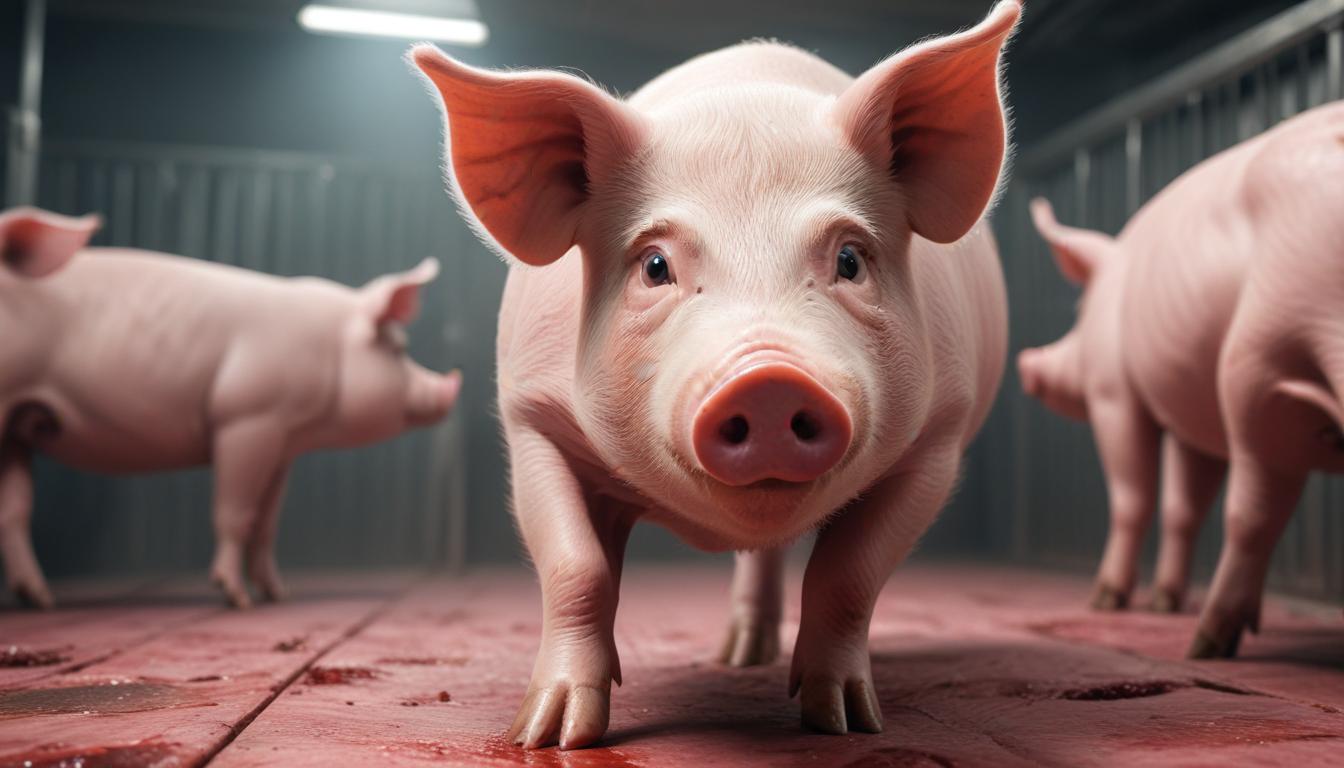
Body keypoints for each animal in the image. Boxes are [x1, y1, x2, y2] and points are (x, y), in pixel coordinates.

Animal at [0, 207, 461, 609]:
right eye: (398, 349)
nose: (450, 387)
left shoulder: (284, 444)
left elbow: (266, 523)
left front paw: (278, 596)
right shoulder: (247, 417)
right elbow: (236, 512)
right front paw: (236, 599)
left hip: (17, 427)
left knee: (15, 509)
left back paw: (40, 599)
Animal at [413, 1, 1019, 748]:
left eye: (850, 260)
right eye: (654, 266)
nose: (769, 380)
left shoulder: (937, 438)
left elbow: (848, 577)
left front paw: (846, 723)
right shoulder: (533, 418)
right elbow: (576, 570)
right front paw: (547, 736)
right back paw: (733, 661)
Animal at [1018, 101, 1344, 658]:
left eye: (1080, 318)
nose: (1024, 364)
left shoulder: (1114, 393)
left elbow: (1134, 497)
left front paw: (1105, 602)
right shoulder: (1196, 417)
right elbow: (1183, 508)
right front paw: (1163, 603)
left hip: (1260, 355)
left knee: (1254, 509)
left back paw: (1205, 645)